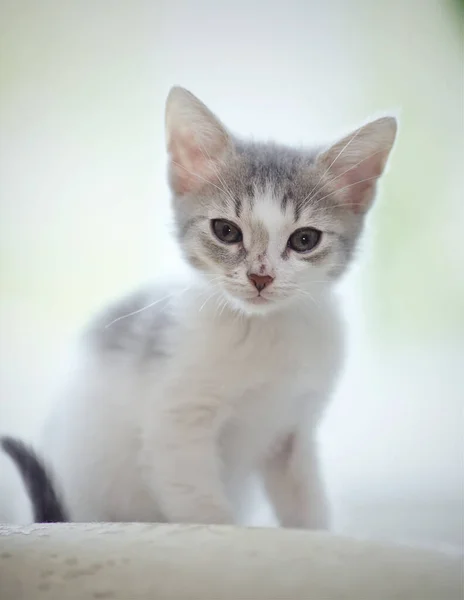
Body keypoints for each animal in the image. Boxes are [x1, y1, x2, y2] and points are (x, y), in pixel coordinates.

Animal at [13, 88, 398, 524]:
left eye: (304, 240)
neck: (262, 331)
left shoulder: (294, 430)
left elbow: (306, 505)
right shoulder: (176, 422)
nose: (260, 277)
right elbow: (203, 510)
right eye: (226, 231)